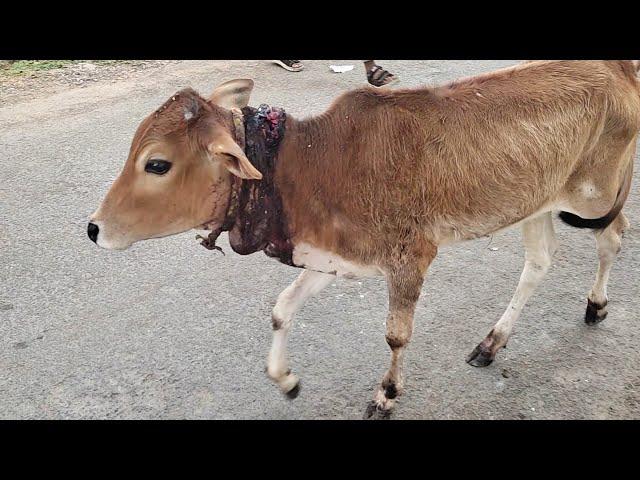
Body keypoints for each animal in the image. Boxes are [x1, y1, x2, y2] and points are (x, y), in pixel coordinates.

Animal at [90, 62, 640, 418]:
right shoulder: (333, 259)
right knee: (540, 262)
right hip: (537, 203)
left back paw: (596, 305)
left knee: (613, 237)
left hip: (592, 196)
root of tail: (617, 66)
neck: (309, 165)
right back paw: (491, 343)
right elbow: (282, 309)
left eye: (157, 164)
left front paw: (386, 395)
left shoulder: (411, 259)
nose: (93, 228)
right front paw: (286, 379)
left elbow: (396, 336)